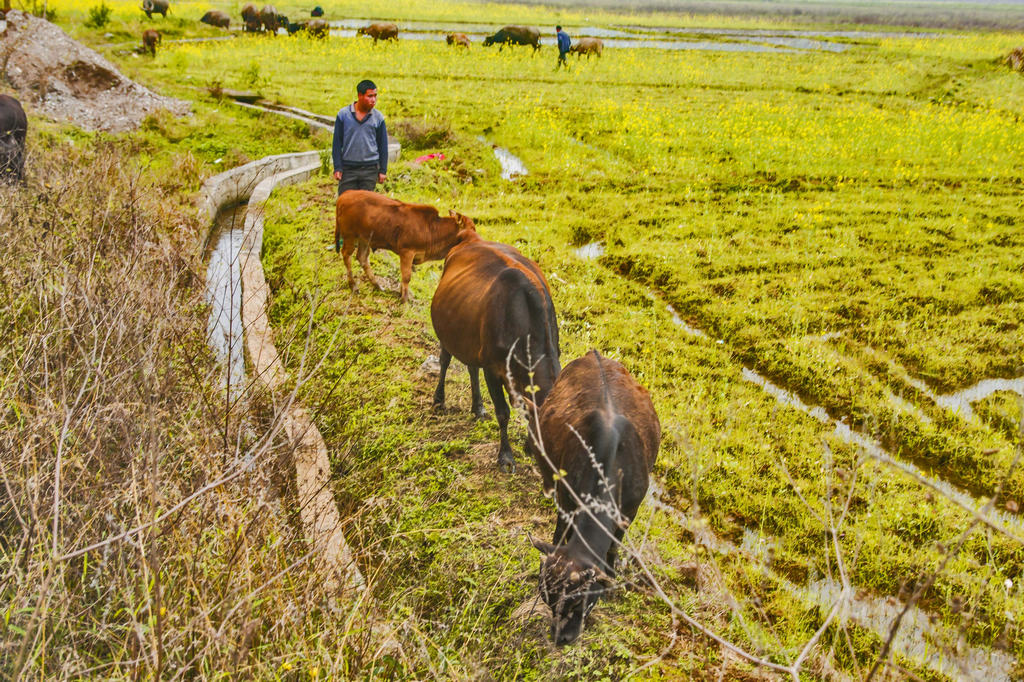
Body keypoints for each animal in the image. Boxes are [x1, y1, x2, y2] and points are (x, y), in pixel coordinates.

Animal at [335, 187, 479, 301]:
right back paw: (353, 286)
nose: (477, 239)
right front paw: (404, 299)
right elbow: (406, 276)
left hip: (364, 239)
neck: (433, 229)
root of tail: (345, 194)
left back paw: (378, 286)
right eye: (472, 228)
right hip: (350, 236)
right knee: (346, 255)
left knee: (362, 258)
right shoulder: (407, 251)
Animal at [430, 231, 565, 471]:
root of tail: (470, 239)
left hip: (470, 337)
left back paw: (478, 407)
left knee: (471, 367)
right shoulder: (492, 368)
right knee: (445, 360)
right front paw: (506, 456)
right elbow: (503, 413)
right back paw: (439, 400)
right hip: (448, 333)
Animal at [528, 350, 663, 643]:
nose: (561, 638)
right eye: (547, 599)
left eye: (579, 601)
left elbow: (614, 546)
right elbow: (560, 532)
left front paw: (611, 577)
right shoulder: (567, 500)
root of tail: (594, 355)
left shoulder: (629, 512)